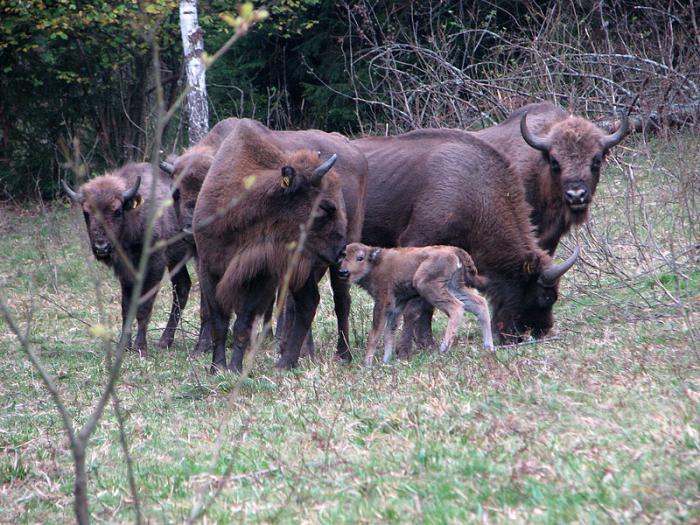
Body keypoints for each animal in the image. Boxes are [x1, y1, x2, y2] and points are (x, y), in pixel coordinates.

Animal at [63, 162, 191, 354]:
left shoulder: (155, 266)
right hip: (177, 259)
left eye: (116, 211)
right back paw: (164, 342)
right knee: (183, 287)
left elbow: (144, 306)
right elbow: (127, 307)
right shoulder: (125, 272)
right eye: (86, 213)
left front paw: (140, 347)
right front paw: (124, 346)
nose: (101, 247)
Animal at [191, 121, 356, 370]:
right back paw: (286, 362)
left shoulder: (259, 275)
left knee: (320, 302)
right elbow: (219, 322)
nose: (340, 251)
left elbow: (242, 324)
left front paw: (234, 368)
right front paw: (217, 368)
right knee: (308, 303)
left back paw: (286, 362)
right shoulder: (208, 267)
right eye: (323, 207)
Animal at [340, 242, 492, 364]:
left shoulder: (382, 303)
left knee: (457, 307)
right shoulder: (396, 306)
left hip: (427, 286)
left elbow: (375, 333)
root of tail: (453, 249)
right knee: (480, 304)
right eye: (343, 256)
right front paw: (386, 361)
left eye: (360, 258)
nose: (343, 272)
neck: (376, 263)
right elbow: (389, 333)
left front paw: (366, 364)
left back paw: (443, 348)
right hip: (454, 286)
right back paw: (489, 347)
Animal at [356, 131, 580, 352]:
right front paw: (408, 350)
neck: (475, 192)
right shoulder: (418, 244)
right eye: (546, 297)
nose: (542, 331)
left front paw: (426, 343)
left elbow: (428, 306)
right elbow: (417, 306)